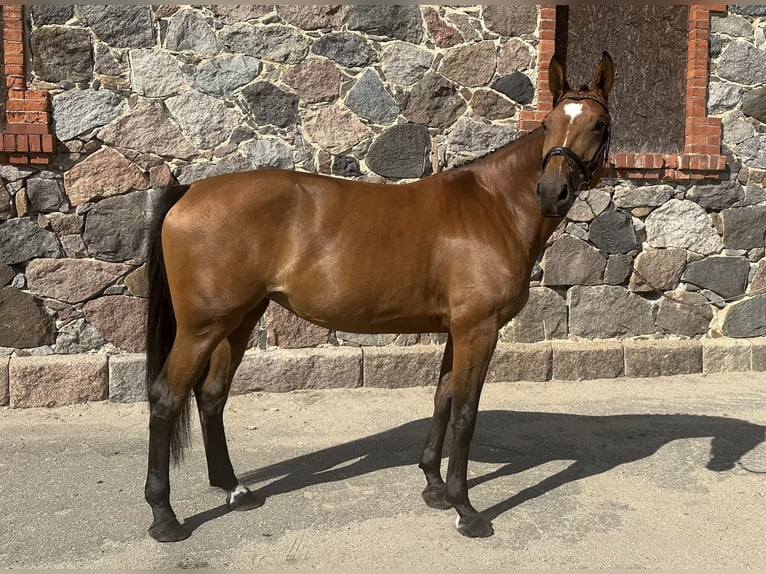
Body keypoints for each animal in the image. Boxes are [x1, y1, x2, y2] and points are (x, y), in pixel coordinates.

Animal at [143, 52, 614, 542]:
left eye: (599, 124)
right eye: (548, 123)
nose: (551, 193)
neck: (495, 206)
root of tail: (190, 190)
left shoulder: (457, 329)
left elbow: (443, 398)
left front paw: (434, 487)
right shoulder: (478, 329)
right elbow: (466, 412)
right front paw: (466, 509)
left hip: (239, 319)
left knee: (211, 395)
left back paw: (235, 491)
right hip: (201, 328)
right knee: (166, 398)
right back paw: (165, 516)